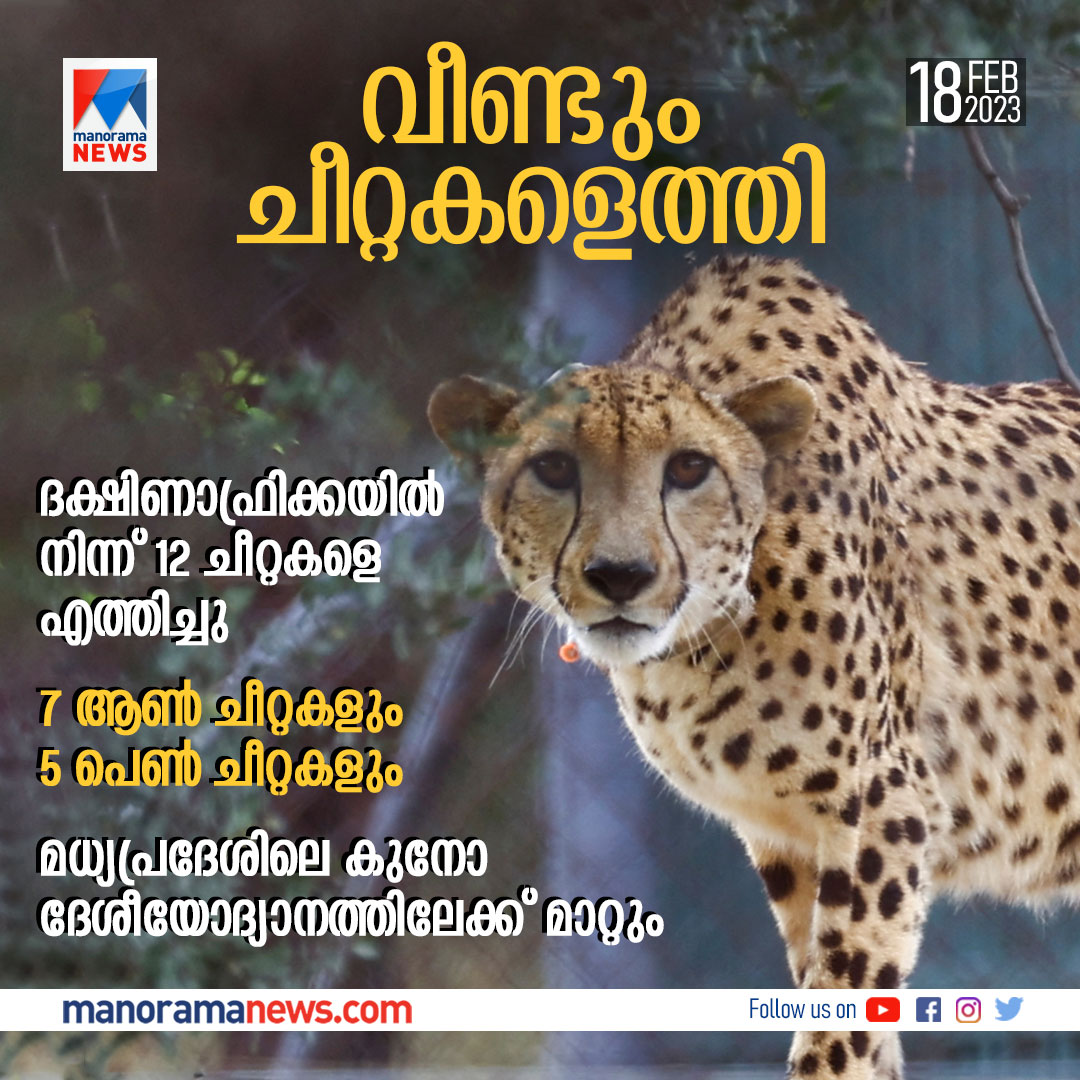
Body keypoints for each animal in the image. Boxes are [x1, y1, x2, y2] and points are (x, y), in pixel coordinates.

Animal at [428, 254, 1080, 1079]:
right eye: (552, 469)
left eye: (689, 468)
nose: (620, 576)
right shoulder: (788, 838)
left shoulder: (885, 809)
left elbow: (840, 1027)